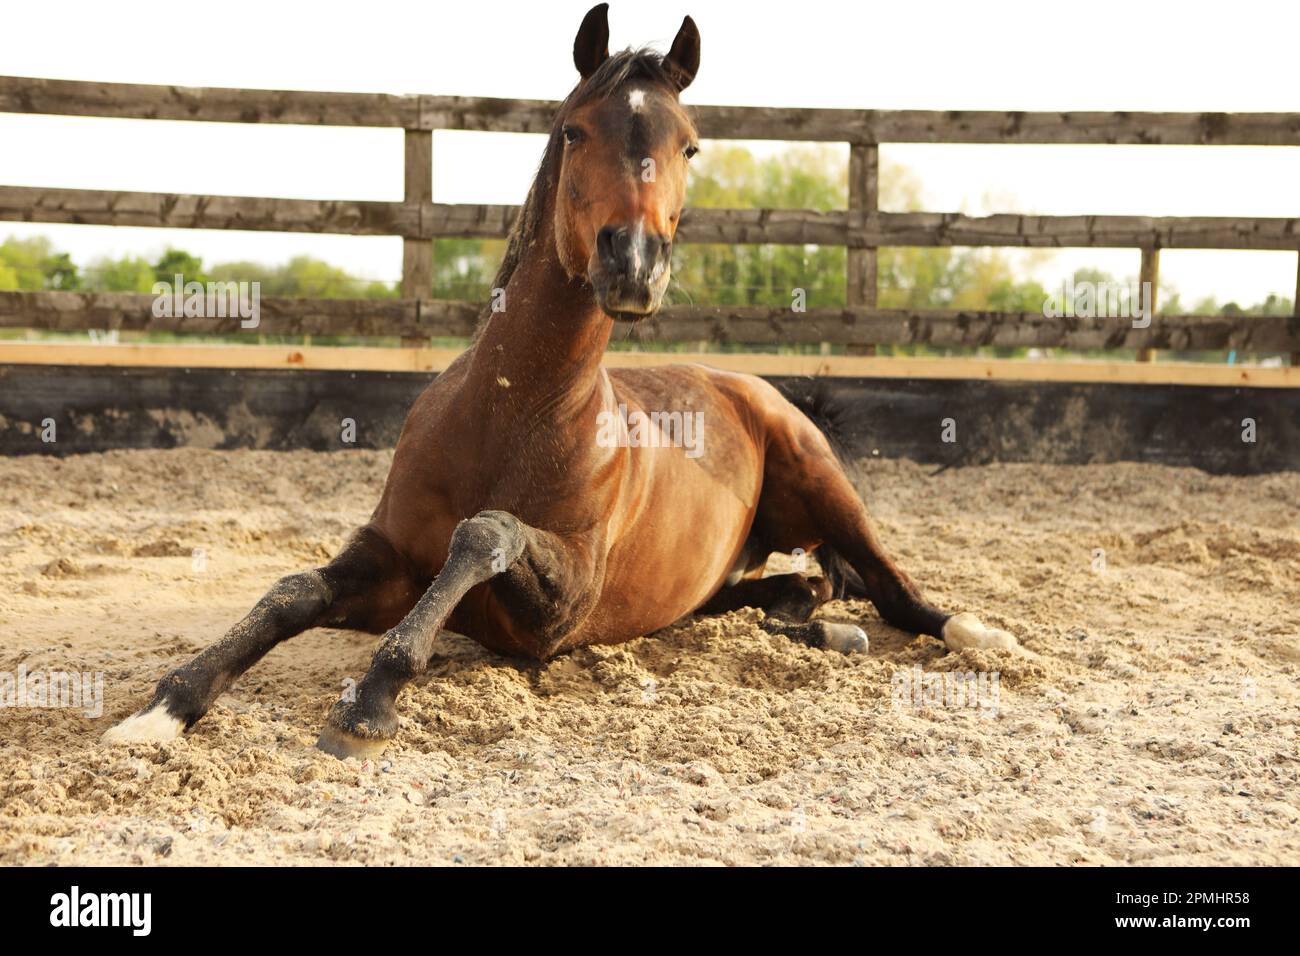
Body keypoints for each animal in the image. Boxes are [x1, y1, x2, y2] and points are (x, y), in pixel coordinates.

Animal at [104, 3, 1013, 759]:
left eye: (689, 144)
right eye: (575, 132)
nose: (633, 262)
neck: (510, 415)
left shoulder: (560, 603)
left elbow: (486, 533)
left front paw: (371, 701)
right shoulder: (388, 560)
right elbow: (290, 595)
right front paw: (164, 709)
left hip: (825, 481)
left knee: (888, 590)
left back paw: (972, 633)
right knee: (796, 589)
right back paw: (818, 629)